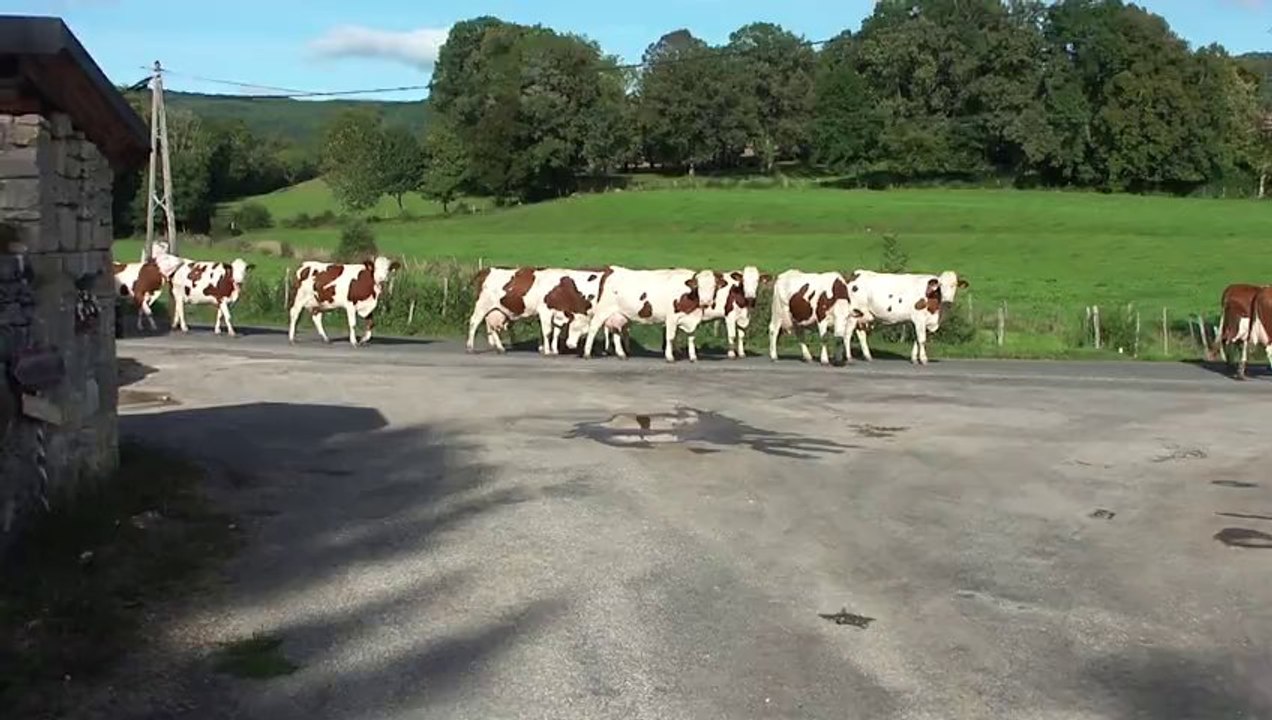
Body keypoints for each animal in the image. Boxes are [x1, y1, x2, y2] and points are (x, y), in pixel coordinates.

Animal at [578, 266, 719, 363]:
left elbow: (691, 337)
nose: (706, 302)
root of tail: (612, 269)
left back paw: (621, 354)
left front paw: (693, 357)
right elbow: (671, 337)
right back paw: (587, 353)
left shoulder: (691, 318)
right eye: (699, 287)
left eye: (714, 287)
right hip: (603, 311)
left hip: (618, 314)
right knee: (593, 329)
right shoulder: (671, 317)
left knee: (616, 332)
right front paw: (669, 356)